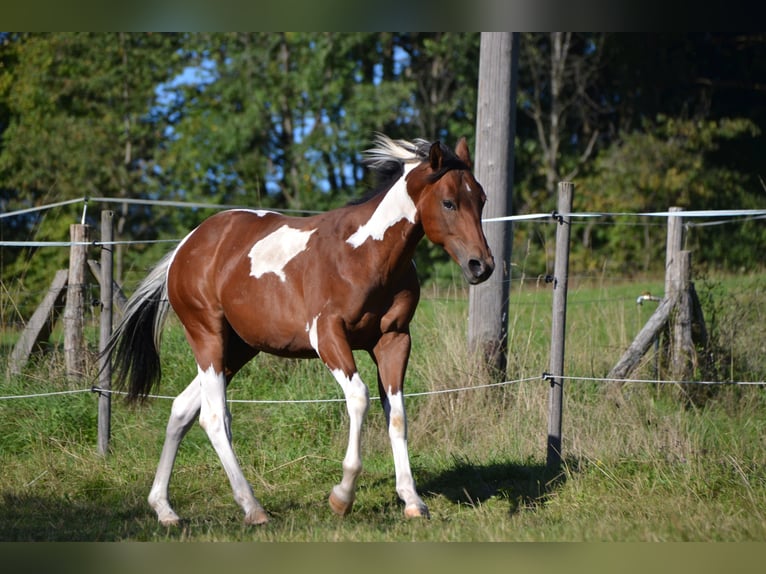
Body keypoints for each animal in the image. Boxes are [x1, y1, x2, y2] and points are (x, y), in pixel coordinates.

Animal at [104, 134, 494, 526]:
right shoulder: (328, 337)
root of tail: (186, 247)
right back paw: (253, 507)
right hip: (208, 338)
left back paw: (164, 508)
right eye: (448, 202)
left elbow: (396, 416)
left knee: (182, 409)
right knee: (214, 418)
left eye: (481, 198)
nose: (481, 265)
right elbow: (359, 398)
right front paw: (342, 497)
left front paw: (412, 500)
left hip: (238, 348)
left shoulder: (394, 340)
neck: (366, 256)